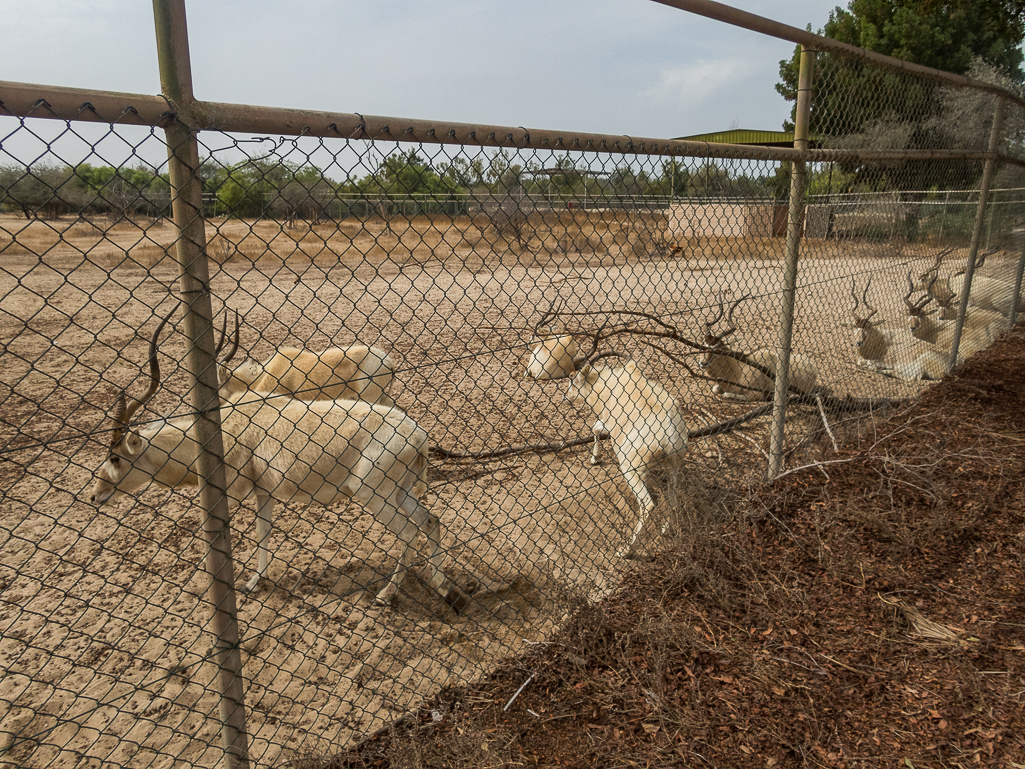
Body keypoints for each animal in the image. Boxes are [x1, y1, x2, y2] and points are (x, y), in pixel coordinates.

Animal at [565, 354, 692, 561]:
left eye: (573, 381)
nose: (565, 396)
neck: (604, 384)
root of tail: (669, 435)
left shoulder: (609, 423)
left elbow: (596, 427)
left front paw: (594, 459)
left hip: (631, 469)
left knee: (648, 505)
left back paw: (625, 550)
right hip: (673, 466)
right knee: (673, 498)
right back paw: (666, 529)